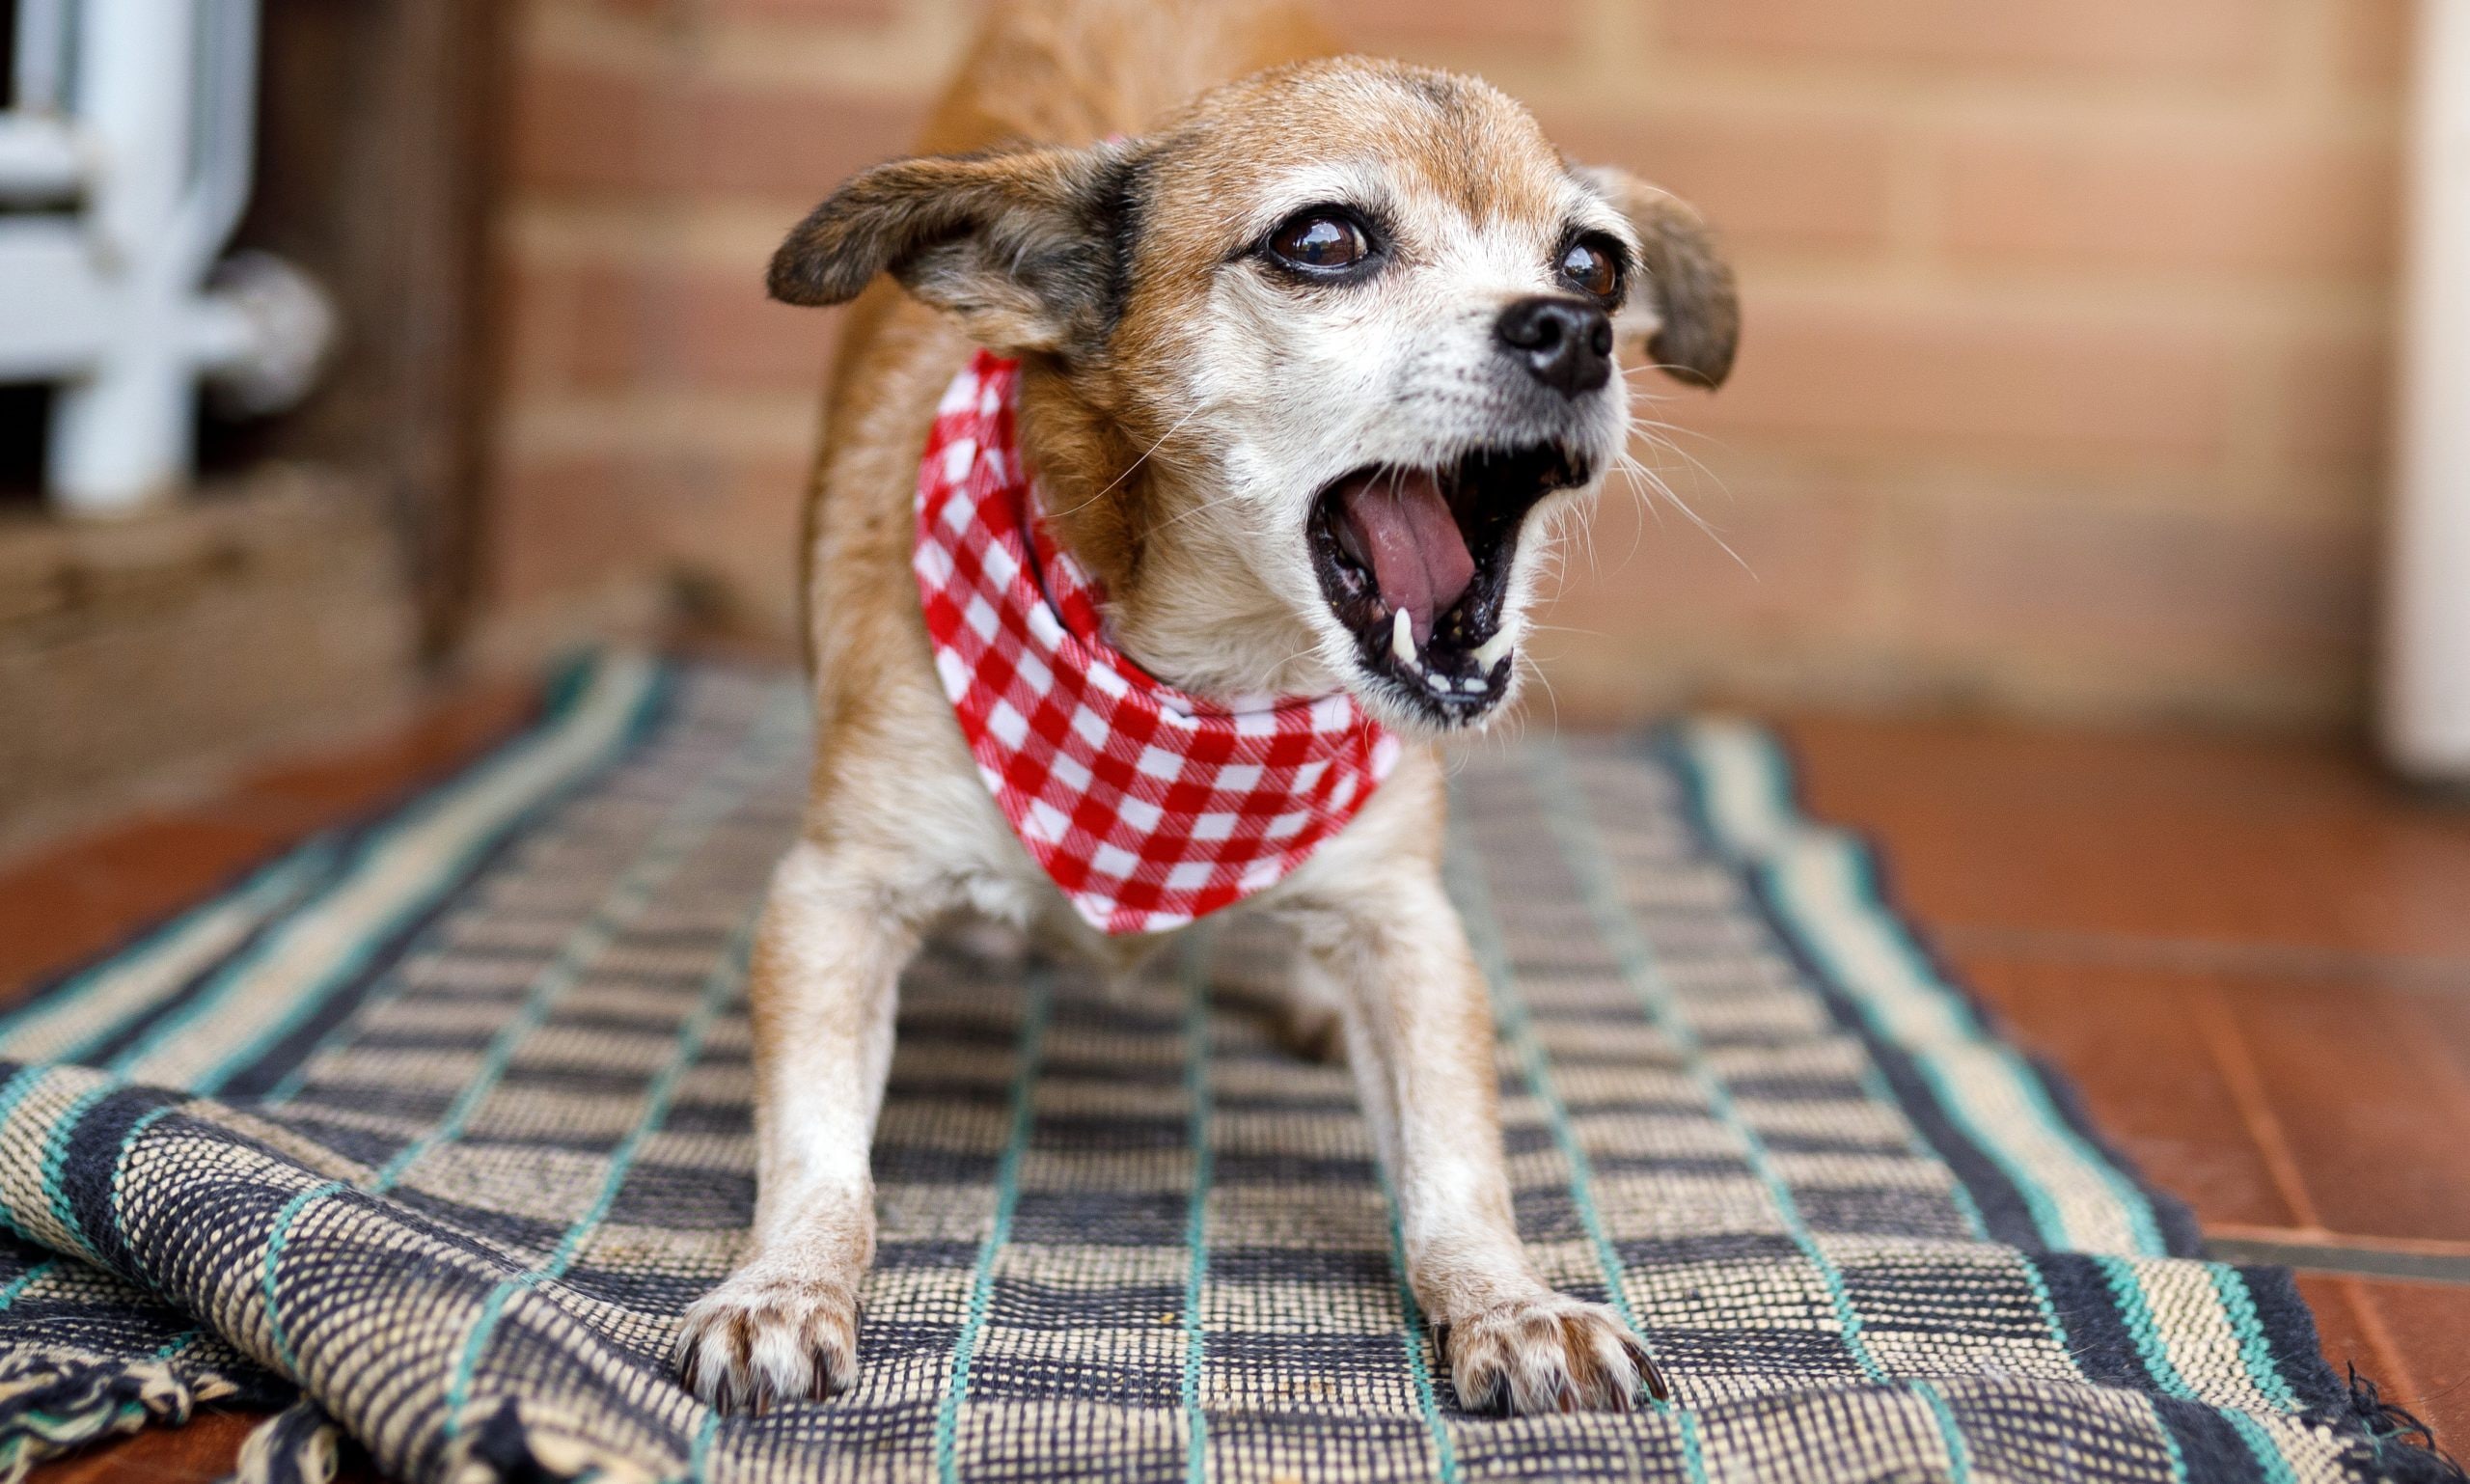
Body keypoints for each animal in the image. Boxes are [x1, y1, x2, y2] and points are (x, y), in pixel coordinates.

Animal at [672, 0, 1739, 1422]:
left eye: (1595, 263)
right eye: (1324, 242)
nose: (1576, 330)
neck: (1207, 691)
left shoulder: (1405, 921)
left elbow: (1457, 1153)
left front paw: (1506, 1299)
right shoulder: (835, 893)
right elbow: (814, 1148)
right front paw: (785, 1281)